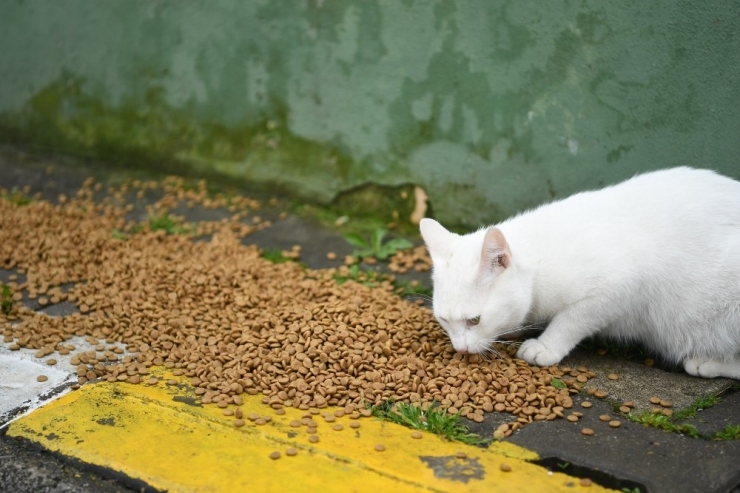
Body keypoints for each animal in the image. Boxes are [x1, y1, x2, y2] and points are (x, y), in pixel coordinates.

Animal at [420, 167, 740, 378]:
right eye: (443, 320)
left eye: (474, 320)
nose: (460, 349)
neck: (540, 259)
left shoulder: (622, 286)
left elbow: (572, 319)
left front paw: (545, 346)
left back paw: (707, 362)